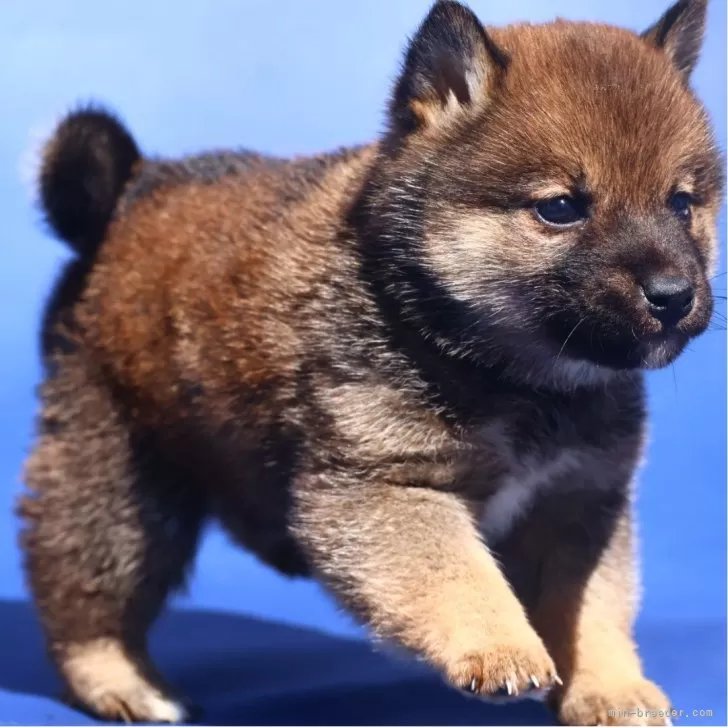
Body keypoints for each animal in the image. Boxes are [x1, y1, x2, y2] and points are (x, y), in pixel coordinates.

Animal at [17, 1, 724, 727]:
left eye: (682, 203)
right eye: (560, 208)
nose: (674, 295)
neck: (501, 371)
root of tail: (124, 195)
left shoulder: (579, 500)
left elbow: (591, 610)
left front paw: (610, 685)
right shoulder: (386, 485)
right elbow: (459, 575)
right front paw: (499, 645)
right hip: (118, 482)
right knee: (85, 592)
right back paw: (120, 680)